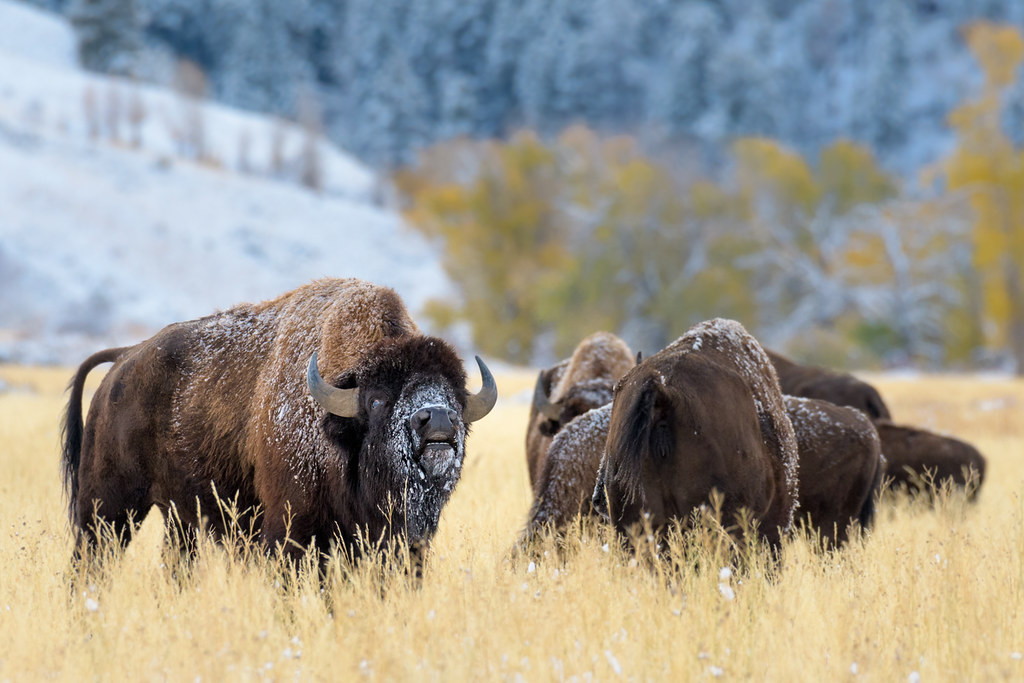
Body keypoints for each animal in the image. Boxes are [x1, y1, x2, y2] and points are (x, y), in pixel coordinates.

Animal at [60, 278, 497, 566]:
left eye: (457, 397)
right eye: (376, 400)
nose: (437, 419)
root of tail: (123, 360)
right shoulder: (291, 533)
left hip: (179, 517)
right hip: (108, 508)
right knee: (90, 563)